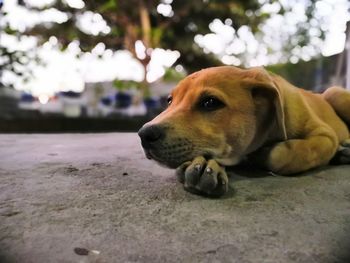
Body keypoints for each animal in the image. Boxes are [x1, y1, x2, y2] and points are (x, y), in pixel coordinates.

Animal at [138, 67, 348, 197]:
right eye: (169, 101)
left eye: (210, 102)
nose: (144, 135)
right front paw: (204, 165)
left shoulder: (326, 136)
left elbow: (283, 154)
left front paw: (260, 156)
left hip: (335, 93)